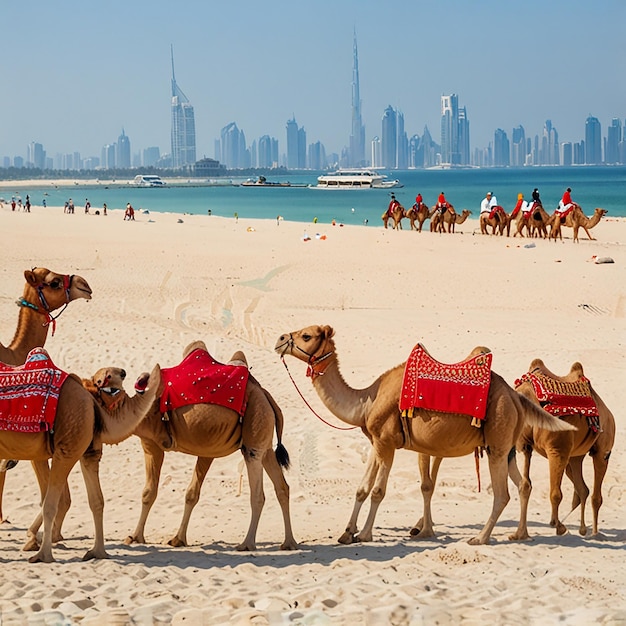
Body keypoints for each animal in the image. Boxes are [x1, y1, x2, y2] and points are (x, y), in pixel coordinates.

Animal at [0, 352, 160, 560]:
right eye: (109, 382)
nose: (138, 375)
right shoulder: (67, 450)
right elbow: (55, 503)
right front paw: (44, 554)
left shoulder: (82, 451)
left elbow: (94, 501)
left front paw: (97, 552)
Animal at [120, 342, 300, 552]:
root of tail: (266, 396)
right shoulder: (204, 448)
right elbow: (185, 493)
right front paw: (175, 539)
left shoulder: (152, 442)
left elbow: (151, 492)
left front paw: (134, 537)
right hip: (265, 442)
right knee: (282, 487)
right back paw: (289, 543)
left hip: (255, 426)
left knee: (258, 494)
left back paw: (247, 544)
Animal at [272, 324, 572, 544]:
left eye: (307, 335)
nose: (280, 339)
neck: (367, 401)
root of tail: (515, 396)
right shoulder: (376, 442)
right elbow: (362, 488)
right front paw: (347, 533)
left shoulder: (387, 442)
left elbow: (378, 490)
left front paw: (365, 534)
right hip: (507, 446)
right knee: (524, 485)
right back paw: (520, 533)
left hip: (497, 442)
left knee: (502, 494)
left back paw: (480, 538)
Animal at [508, 358, 616, 540]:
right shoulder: (524, 447)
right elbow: (525, 485)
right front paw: (520, 534)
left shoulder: (556, 450)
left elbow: (555, 494)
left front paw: (558, 526)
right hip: (574, 456)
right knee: (583, 489)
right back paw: (583, 530)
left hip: (602, 449)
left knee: (596, 495)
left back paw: (595, 533)